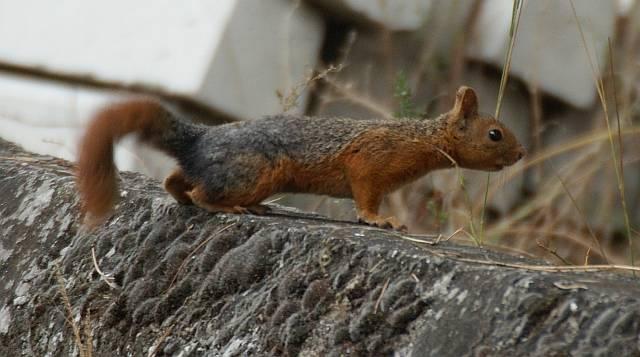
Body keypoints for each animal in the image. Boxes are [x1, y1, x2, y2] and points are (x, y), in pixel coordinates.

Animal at [76, 86, 524, 228]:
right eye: (494, 134)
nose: (521, 153)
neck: (419, 139)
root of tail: (200, 139)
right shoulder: (371, 160)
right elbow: (365, 195)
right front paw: (379, 220)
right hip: (252, 170)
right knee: (205, 193)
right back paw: (232, 207)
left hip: (224, 169)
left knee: (176, 180)